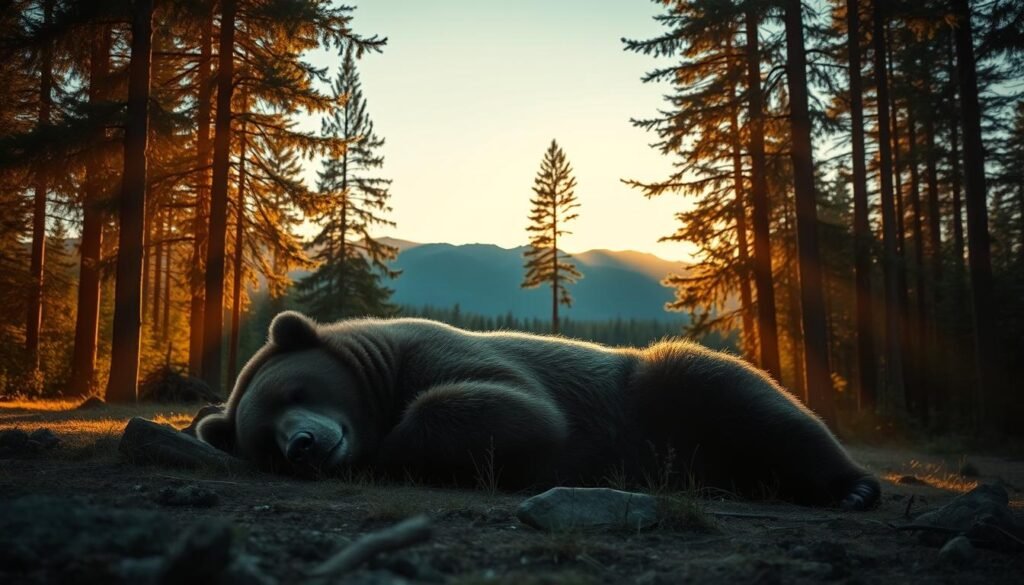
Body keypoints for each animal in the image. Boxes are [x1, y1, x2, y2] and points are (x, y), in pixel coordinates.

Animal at [197, 311, 880, 509]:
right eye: (264, 441)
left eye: (295, 393)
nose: (302, 445)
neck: (379, 376)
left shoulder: (441, 352)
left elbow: (513, 408)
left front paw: (391, 446)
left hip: (661, 391)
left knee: (748, 400)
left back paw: (850, 487)